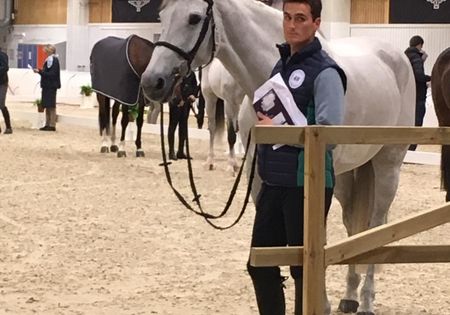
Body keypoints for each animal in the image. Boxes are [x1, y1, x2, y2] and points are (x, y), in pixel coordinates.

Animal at [141, 1, 414, 314]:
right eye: (161, 16)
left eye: (194, 18)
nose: (151, 82)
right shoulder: (259, 176)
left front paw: (320, 302)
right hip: (349, 175)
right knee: (354, 229)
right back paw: (350, 296)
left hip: (387, 165)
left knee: (376, 225)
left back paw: (367, 300)